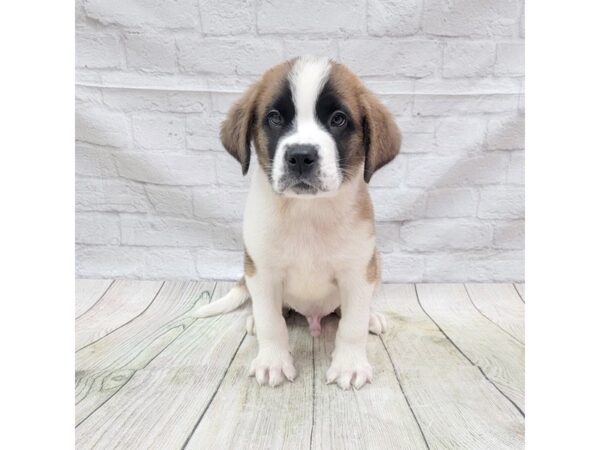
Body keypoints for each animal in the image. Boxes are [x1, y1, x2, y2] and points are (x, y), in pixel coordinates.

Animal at [190, 54, 400, 388]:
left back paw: (371, 316)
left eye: (338, 119)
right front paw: (273, 361)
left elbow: (351, 326)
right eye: (275, 118)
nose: (301, 156)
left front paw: (350, 364)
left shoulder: (357, 273)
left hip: (374, 264)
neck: (307, 211)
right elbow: (271, 322)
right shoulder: (262, 273)